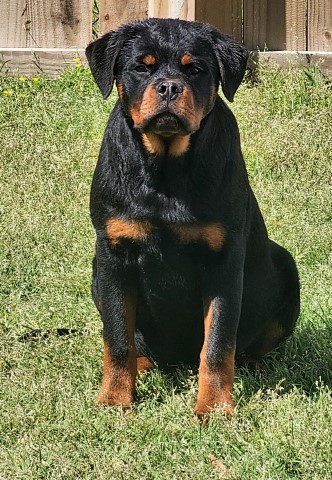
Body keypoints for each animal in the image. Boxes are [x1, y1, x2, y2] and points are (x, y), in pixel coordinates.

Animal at [85, 17, 300, 416]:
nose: (169, 86)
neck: (167, 169)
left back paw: (258, 370)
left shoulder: (223, 260)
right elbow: (118, 336)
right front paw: (115, 399)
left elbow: (218, 342)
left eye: (195, 69)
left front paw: (213, 408)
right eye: (141, 67)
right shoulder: (113, 254)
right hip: (96, 274)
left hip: (285, 265)